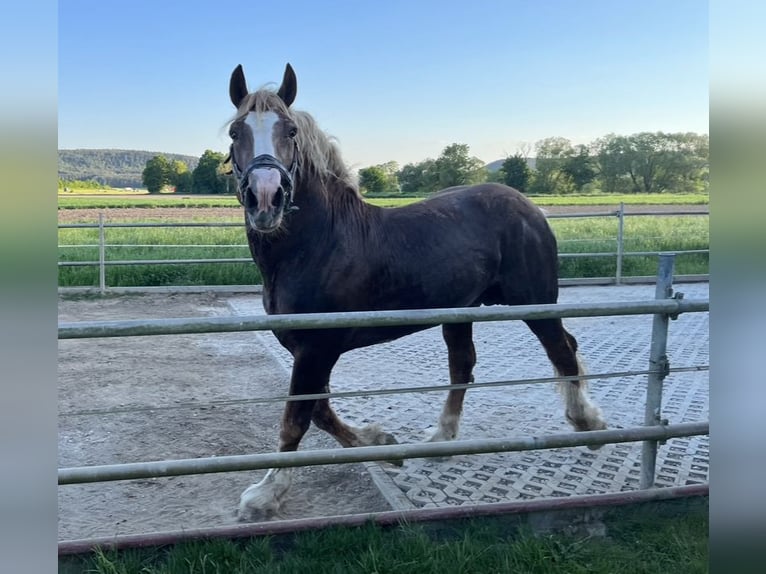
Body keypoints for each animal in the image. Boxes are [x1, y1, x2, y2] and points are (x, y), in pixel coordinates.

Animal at [225, 63, 608, 520]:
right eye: (235, 132)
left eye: (291, 130)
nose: (265, 198)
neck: (318, 244)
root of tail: (531, 208)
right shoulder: (307, 350)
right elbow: (319, 410)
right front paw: (382, 445)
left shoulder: (317, 348)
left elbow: (297, 418)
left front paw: (266, 494)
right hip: (462, 311)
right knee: (464, 365)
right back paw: (441, 438)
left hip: (535, 302)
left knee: (562, 352)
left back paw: (588, 424)